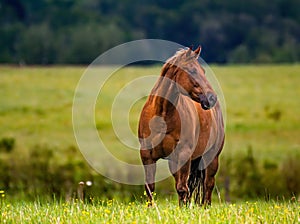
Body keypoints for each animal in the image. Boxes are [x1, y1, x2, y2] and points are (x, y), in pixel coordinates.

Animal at [137, 46, 224, 206]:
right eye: (193, 71)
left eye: (203, 71)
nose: (212, 98)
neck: (162, 115)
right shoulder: (147, 155)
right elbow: (150, 188)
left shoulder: (184, 154)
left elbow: (182, 188)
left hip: (211, 157)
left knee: (208, 185)